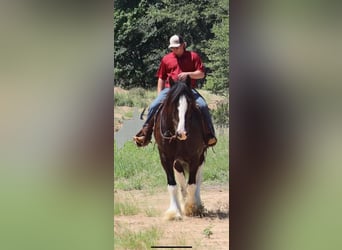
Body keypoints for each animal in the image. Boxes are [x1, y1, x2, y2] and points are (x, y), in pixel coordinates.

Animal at [154, 76, 207, 221]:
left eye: (190, 104)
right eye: (173, 104)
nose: (182, 133)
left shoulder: (195, 157)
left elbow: (193, 184)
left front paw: (192, 207)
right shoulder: (165, 158)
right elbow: (173, 185)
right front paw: (175, 211)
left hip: (201, 157)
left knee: (198, 179)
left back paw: (197, 203)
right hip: (178, 161)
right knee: (182, 181)